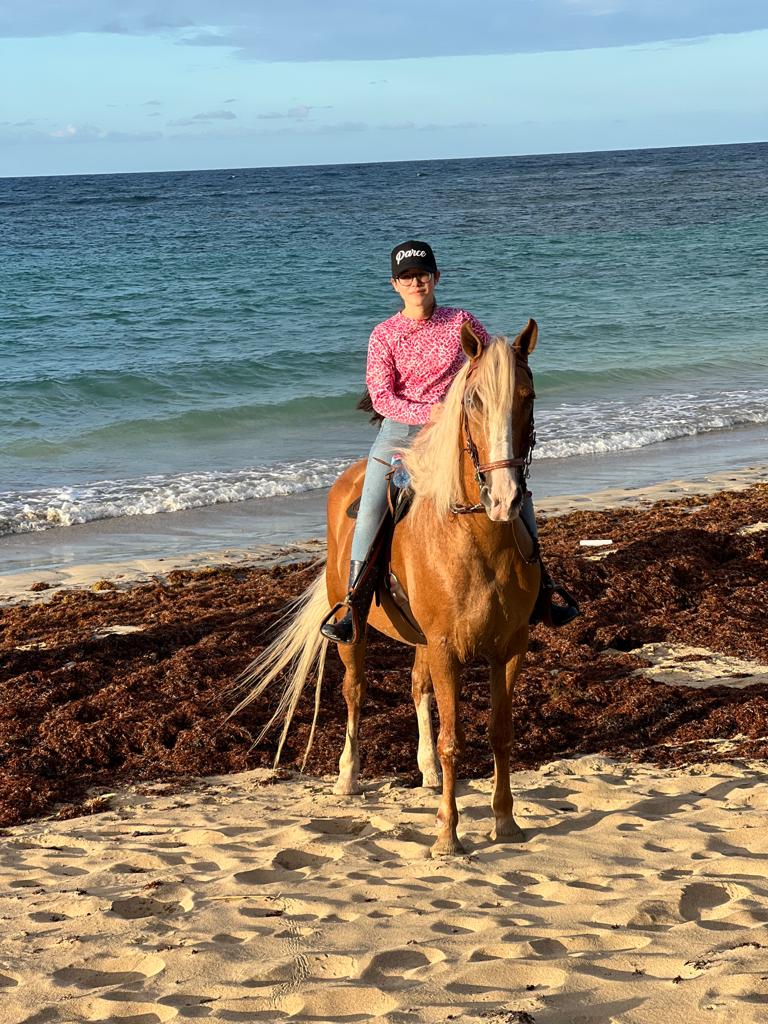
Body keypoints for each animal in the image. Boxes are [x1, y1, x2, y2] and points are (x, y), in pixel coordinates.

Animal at [235, 318, 540, 856]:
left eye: (528, 396)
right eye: (474, 400)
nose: (505, 499)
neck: (476, 539)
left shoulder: (509, 647)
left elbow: (500, 734)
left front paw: (505, 822)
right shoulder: (446, 648)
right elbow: (453, 740)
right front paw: (447, 836)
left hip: (422, 640)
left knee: (417, 688)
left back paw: (425, 771)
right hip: (353, 630)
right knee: (354, 692)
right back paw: (348, 777)